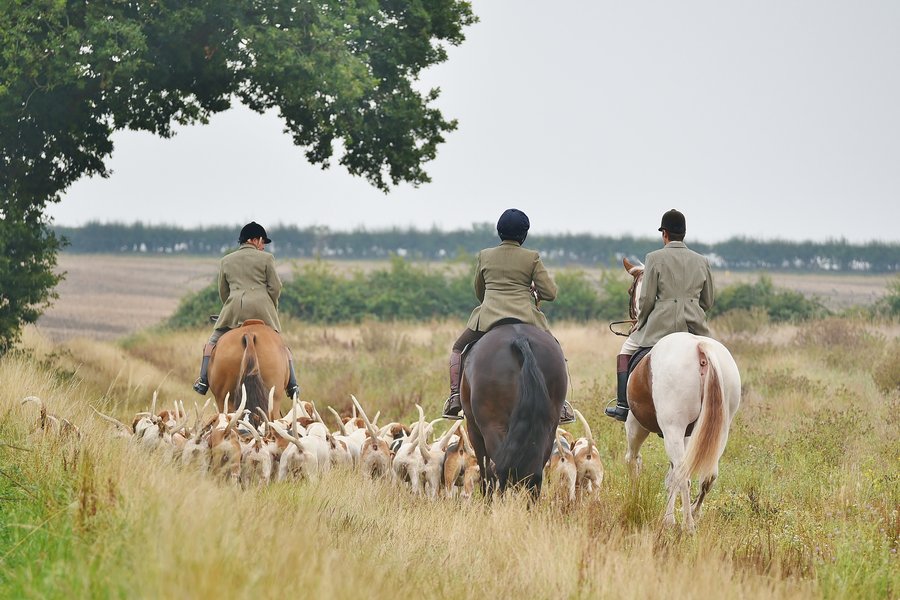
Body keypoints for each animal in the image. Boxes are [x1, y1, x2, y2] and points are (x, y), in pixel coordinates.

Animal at [460, 322, 568, 498]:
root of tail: (519, 339)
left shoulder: (474, 430)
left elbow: (484, 470)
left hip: (492, 426)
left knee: (498, 470)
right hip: (548, 429)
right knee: (534, 473)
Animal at [619, 257, 741, 531]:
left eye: (631, 291)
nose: (634, 323)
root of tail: (700, 348)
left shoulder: (637, 424)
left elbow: (634, 459)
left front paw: (638, 500)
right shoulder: (688, 434)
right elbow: (671, 474)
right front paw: (669, 515)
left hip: (671, 428)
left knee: (683, 473)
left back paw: (686, 525)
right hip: (720, 429)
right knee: (706, 475)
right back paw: (693, 514)